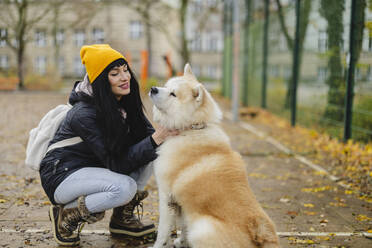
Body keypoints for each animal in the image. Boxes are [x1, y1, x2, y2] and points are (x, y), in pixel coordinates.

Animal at [148, 64, 280, 248]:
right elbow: (183, 226)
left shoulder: (166, 195)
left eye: (173, 94)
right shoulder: (183, 204)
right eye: (166, 86)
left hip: (201, 228)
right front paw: (181, 241)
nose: (153, 89)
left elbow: (163, 231)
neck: (191, 129)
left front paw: (159, 245)